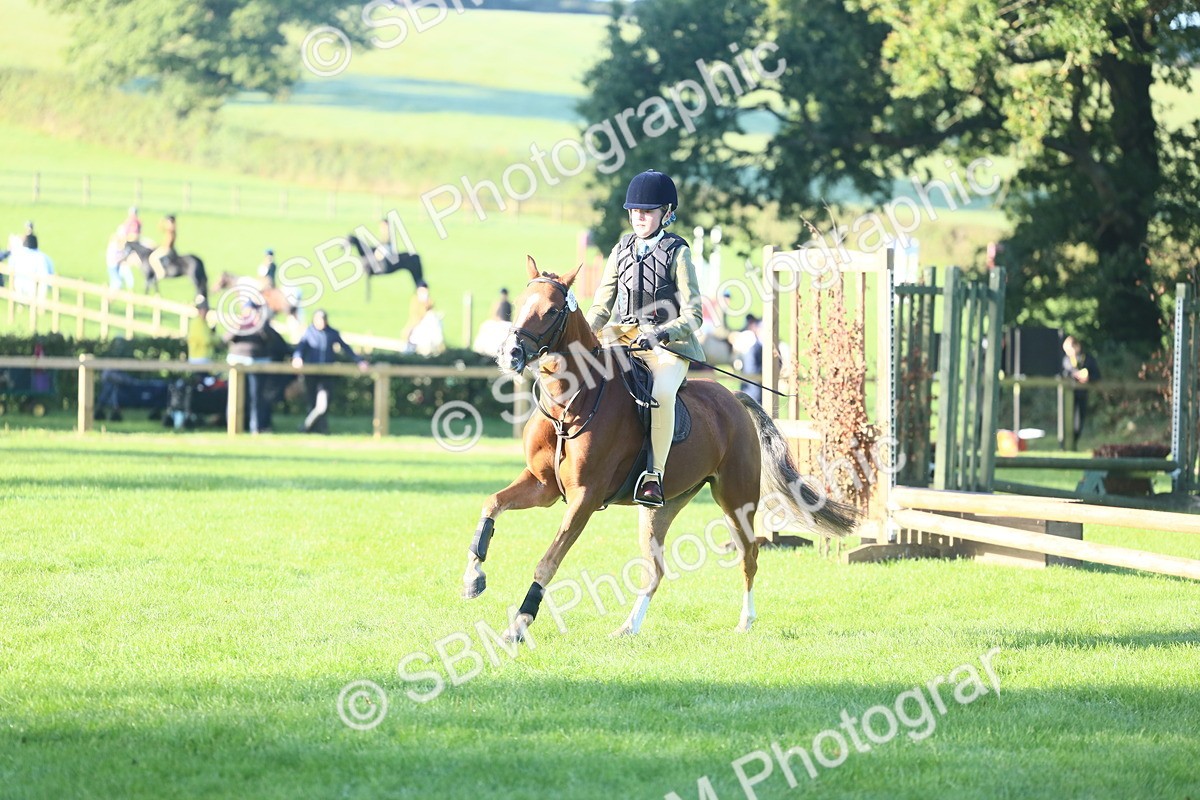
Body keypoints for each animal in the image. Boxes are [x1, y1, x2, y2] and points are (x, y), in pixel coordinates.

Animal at [461, 257, 858, 642]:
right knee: (655, 569)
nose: (510, 354)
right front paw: (473, 578)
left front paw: (518, 624)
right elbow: (491, 504)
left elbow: (548, 561)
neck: (570, 402)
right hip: (662, 507)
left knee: (749, 555)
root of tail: (733, 397)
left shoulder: (584, 497)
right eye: (520, 305)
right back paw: (628, 628)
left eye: (553, 310)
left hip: (736, 499)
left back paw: (745, 622)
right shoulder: (543, 485)